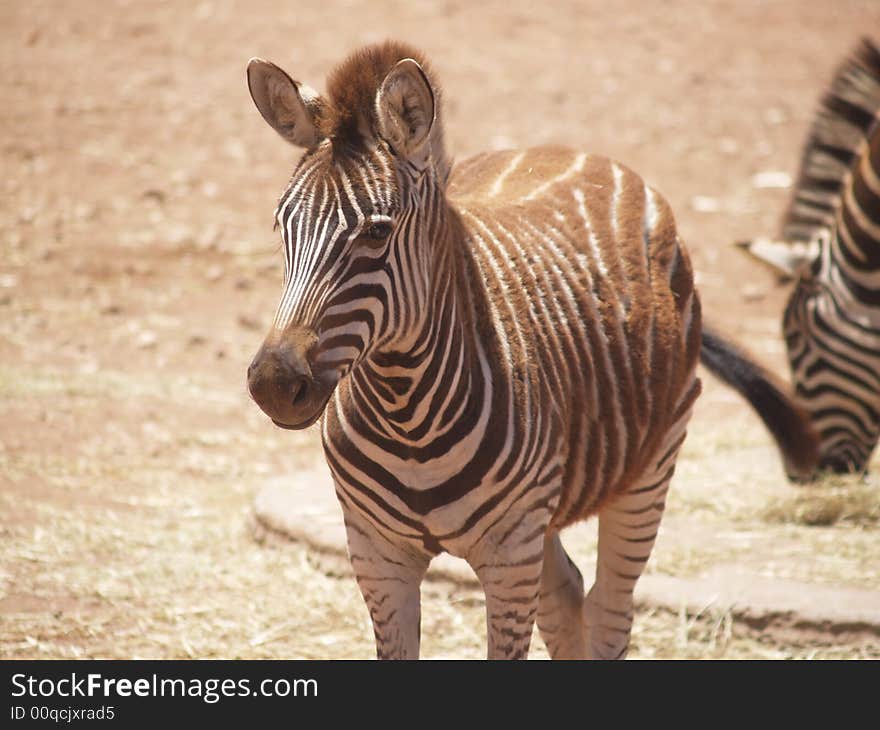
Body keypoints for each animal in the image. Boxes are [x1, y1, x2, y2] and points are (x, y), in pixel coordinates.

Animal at [244, 39, 808, 656]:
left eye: (376, 233)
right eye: (280, 225)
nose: (274, 384)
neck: (406, 413)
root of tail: (571, 152)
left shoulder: (510, 557)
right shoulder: (376, 554)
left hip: (651, 464)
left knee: (609, 611)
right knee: (566, 597)